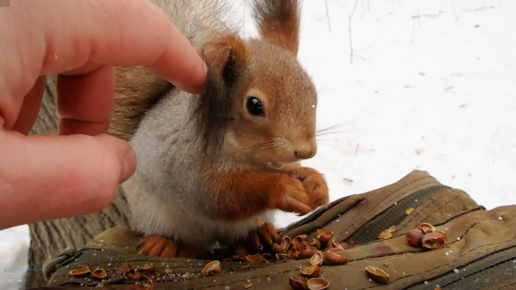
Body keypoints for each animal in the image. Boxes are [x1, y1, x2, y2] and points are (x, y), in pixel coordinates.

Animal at [110, 0, 328, 258]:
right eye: (254, 105)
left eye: (313, 93)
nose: (306, 151)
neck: (248, 153)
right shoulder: (189, 161)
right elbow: (217, 195)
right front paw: (282, 188)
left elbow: (288, 169)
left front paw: (314, 181)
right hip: (153, 213)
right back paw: (163, 242)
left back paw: (257, 233)